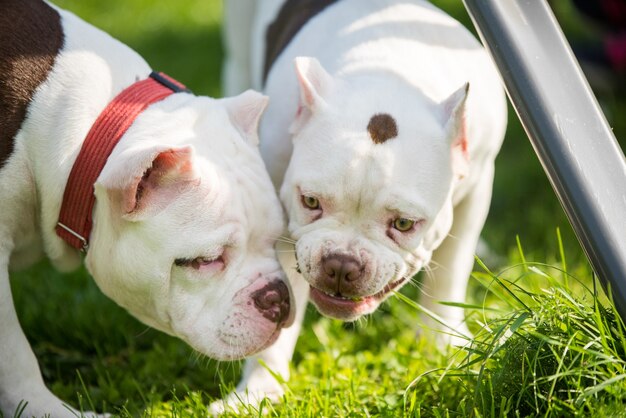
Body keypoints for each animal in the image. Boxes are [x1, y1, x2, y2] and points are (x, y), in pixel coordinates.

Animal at [217, 0, 504, 408]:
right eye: (310, 201)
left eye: (404, 224)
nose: (340, 263)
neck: (389, 77)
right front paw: (259, 390)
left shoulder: (479, 184)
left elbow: (452, 266)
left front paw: (439, 342)